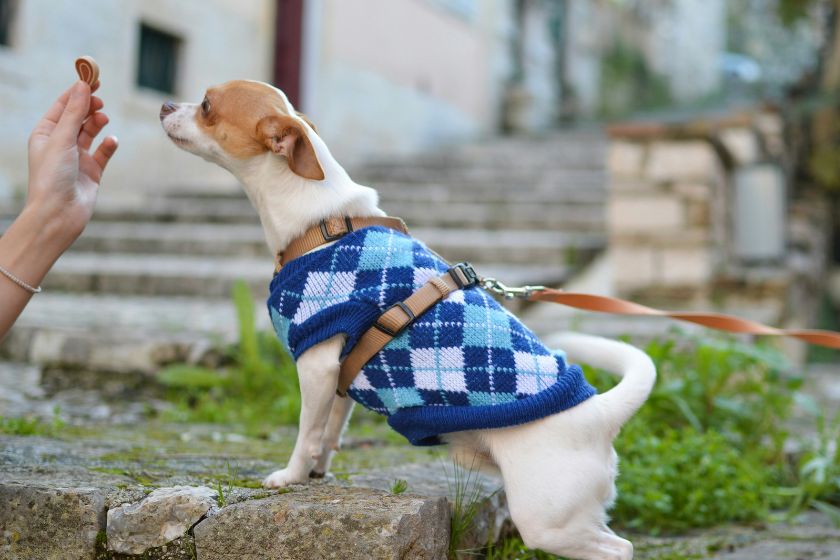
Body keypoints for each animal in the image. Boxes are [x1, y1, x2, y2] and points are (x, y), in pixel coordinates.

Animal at [159, 80, 656, 560]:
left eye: (207, 105)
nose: (164, 105)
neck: (323, 223)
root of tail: (600, 412)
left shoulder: (315, 364)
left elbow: (306, 432)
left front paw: (290, 475)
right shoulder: (339, 374)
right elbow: (330, 430)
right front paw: (319, 472)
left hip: (547, 520)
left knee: (620, 548)